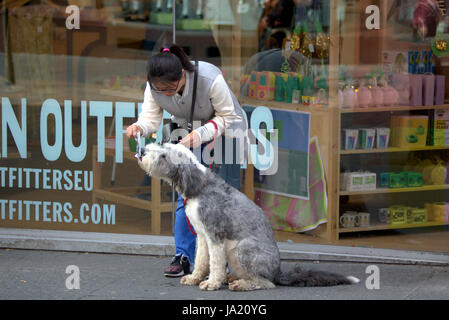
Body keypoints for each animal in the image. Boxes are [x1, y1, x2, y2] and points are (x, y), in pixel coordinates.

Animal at [138, 144, 358, 292]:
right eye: (162, 145)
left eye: (164, 155)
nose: (142, 152)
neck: (199, 187)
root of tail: (278, 271)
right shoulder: (201, 236)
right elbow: (201, 260)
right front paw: (194, 278)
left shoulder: (215, 236)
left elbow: (215, 262)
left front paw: (211, 283)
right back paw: (232, 278)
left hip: (244, 248)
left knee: (266, 283)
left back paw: (240, 284)